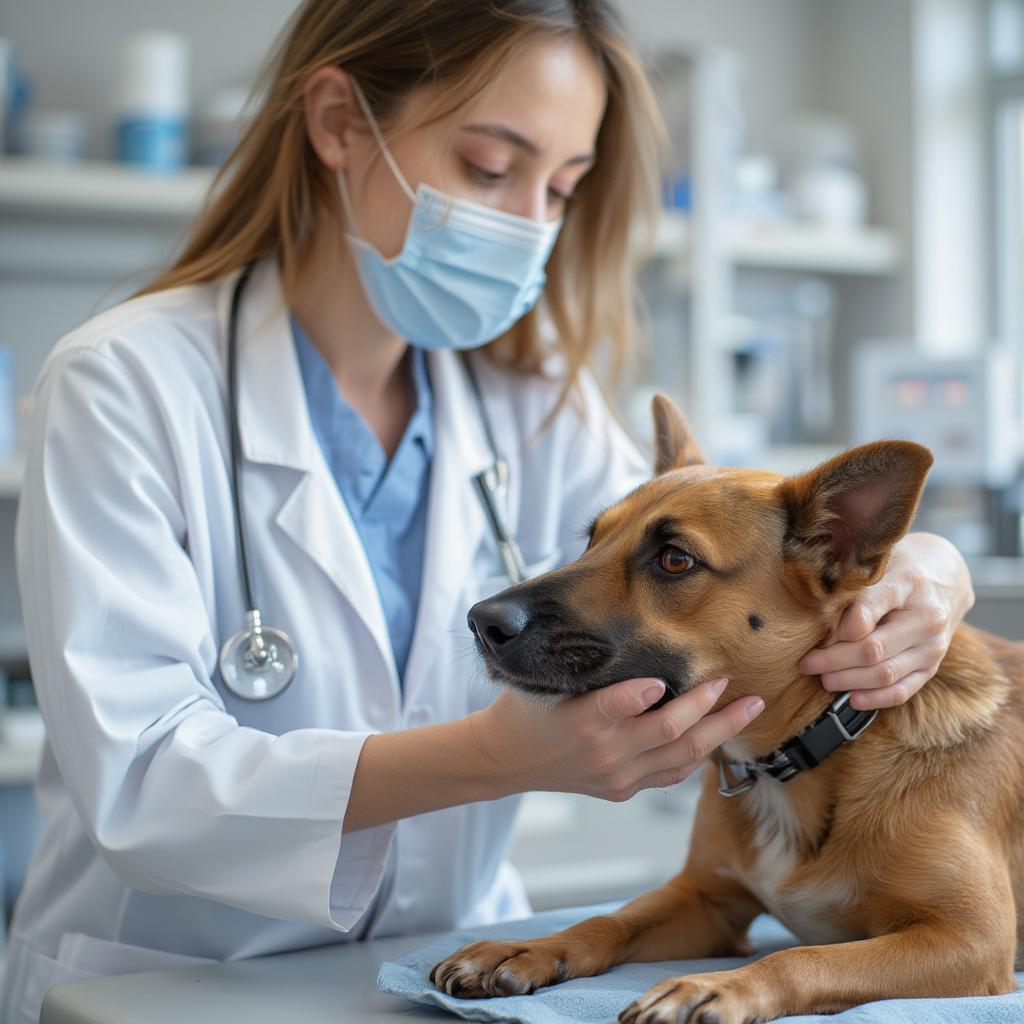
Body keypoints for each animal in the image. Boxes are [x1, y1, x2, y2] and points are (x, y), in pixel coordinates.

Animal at [428, 393, 1019, 1024]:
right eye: (591, 538)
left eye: (675, 560)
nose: (481, 621)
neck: (805, 750)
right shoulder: (703, 899)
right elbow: (607, 919)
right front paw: (529, 947)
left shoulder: (972, 940)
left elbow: (805, 958)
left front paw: (715, 986)